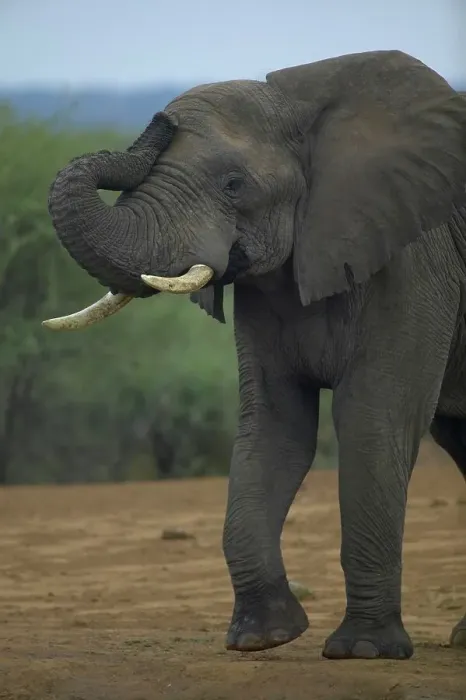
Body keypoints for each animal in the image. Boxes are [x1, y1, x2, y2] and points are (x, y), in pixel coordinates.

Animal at [42, 49, 466, 660]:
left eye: (234, 184)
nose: (161, 120)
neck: (306, 110)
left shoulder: (413, 261)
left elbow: (371, 418)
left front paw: (363, 651)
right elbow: (273, 428)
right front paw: (261, 638)